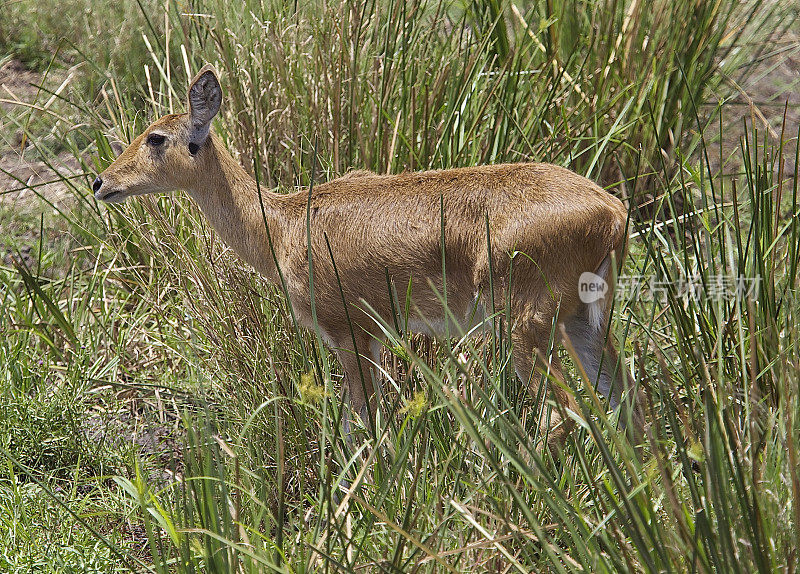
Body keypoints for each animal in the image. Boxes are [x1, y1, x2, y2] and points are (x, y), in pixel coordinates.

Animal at [92, 65, 644, 452]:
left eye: (156, 136)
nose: (100, 182)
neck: (284, 224)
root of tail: (613, 211)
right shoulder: (375, 339)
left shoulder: (348, 334)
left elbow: (359, 426)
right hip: (583, 324)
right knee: (632, 406)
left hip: (526, 329)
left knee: (565, 415)